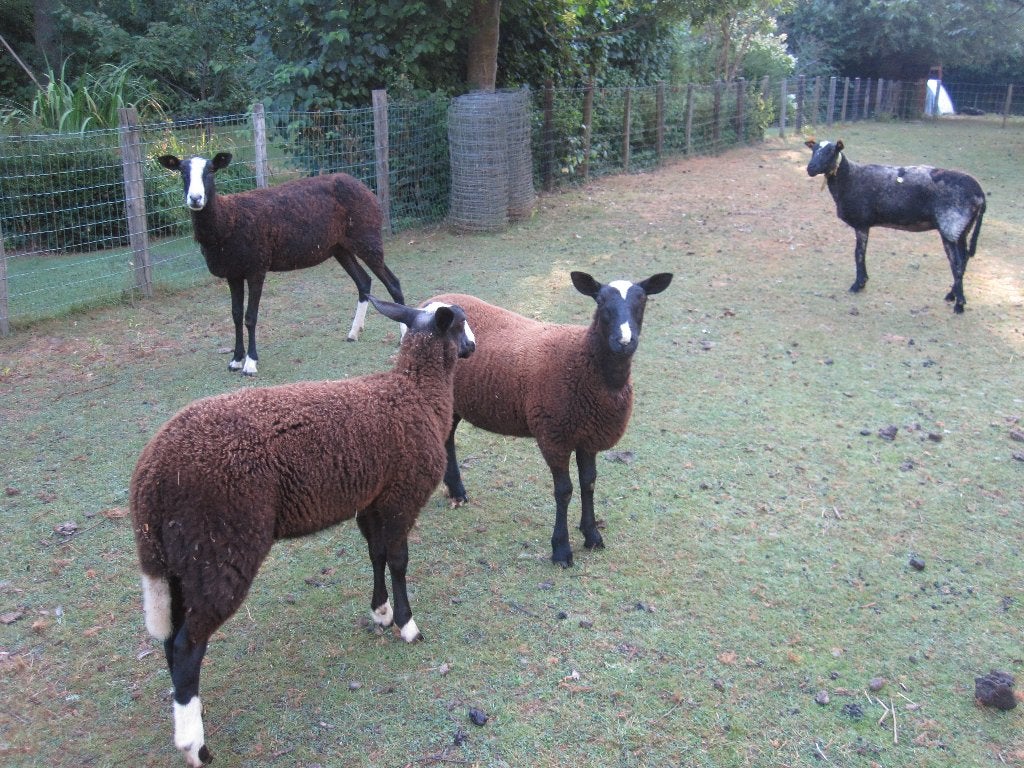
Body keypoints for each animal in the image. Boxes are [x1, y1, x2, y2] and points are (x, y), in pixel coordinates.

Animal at [130, 295, 475, 767]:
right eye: (460, 325)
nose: (473, 348)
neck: (416, 392)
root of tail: (150, 479)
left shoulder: (371, 500)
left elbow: (377, 555)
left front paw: (381, 612)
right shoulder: (401, 496)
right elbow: (400, 561)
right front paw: (407, 625)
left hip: (183, 561)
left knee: (173, 640)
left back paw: (192, 713)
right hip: (220, 549)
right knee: (186, 645)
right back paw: (195, 746)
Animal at [157, 152, 405, 375]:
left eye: (210, 171)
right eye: (182, 172)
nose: (195, 199)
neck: (227, 220)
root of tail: (364, 187)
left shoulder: (256, 267)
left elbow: (250, 317)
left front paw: (250, 363)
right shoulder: (233, 272)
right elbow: (236, 315)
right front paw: (236, 360)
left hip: (367, 237)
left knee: (393, 283)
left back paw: (403, 337)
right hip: (340, 247)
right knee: (364, 282)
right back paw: (353, 333)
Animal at [428, 270, 673, 567]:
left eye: (643, 300)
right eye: (600, 301)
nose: (624, 342)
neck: (584, 361)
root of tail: (433, 299)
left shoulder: (588, 435)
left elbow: (589, 483)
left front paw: (592, 535)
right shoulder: (554, 436)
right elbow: (564, 491)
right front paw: (561, 549)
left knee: (449, 436)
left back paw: (457, 491)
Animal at [805, 139, 986, 313]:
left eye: (831, 151)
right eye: (813, 150)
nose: (810, 168)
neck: (849, 178)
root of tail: (980, 194)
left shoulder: (862, 223)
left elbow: (858, 254)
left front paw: (858, 285)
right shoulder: (864, 224)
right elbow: (861, 253)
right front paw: (863, 282)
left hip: (951, 226)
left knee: (956, 264)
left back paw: (959, 304)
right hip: (963, 228)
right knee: (964, 258)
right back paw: (951, 295)